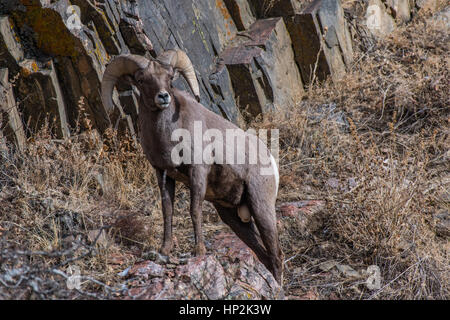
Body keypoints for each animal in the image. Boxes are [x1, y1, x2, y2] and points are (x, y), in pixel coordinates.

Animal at [102, 48, 284, 282]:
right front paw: (164, 251)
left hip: (261, 207)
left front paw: (199, 251)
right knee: (264, 255)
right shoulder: (163, 174)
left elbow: (194, 210)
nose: (163, 97)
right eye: (141, 80)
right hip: (234, 217)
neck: (169, 135)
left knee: (276, 254)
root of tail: (270, 161)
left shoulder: (197, 172)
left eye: (170, 78)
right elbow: (167, 211)